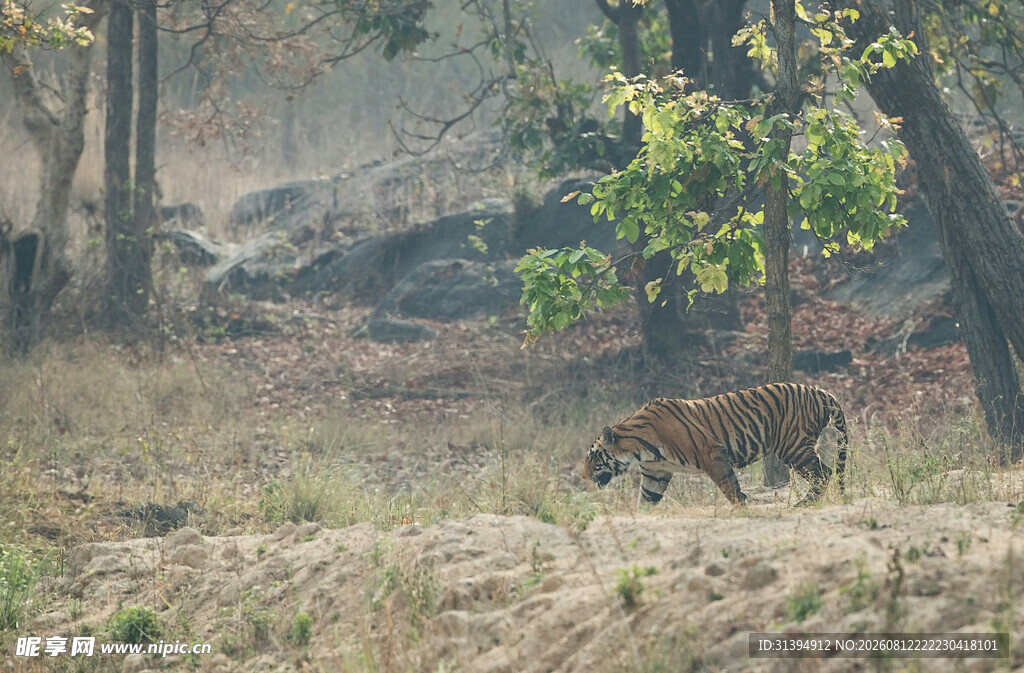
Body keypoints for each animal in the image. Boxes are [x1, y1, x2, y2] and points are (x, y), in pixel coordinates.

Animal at [581, 382, 848, 505]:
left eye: (593, 456)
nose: (583, 476)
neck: (640, 450)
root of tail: (820, 391)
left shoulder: (711, 453)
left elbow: (729, 486)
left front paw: (742, 507)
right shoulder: (656, 473)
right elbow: (646, 500)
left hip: (793, 446)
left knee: (824, 472)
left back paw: (805, 503)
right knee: (825, 471)